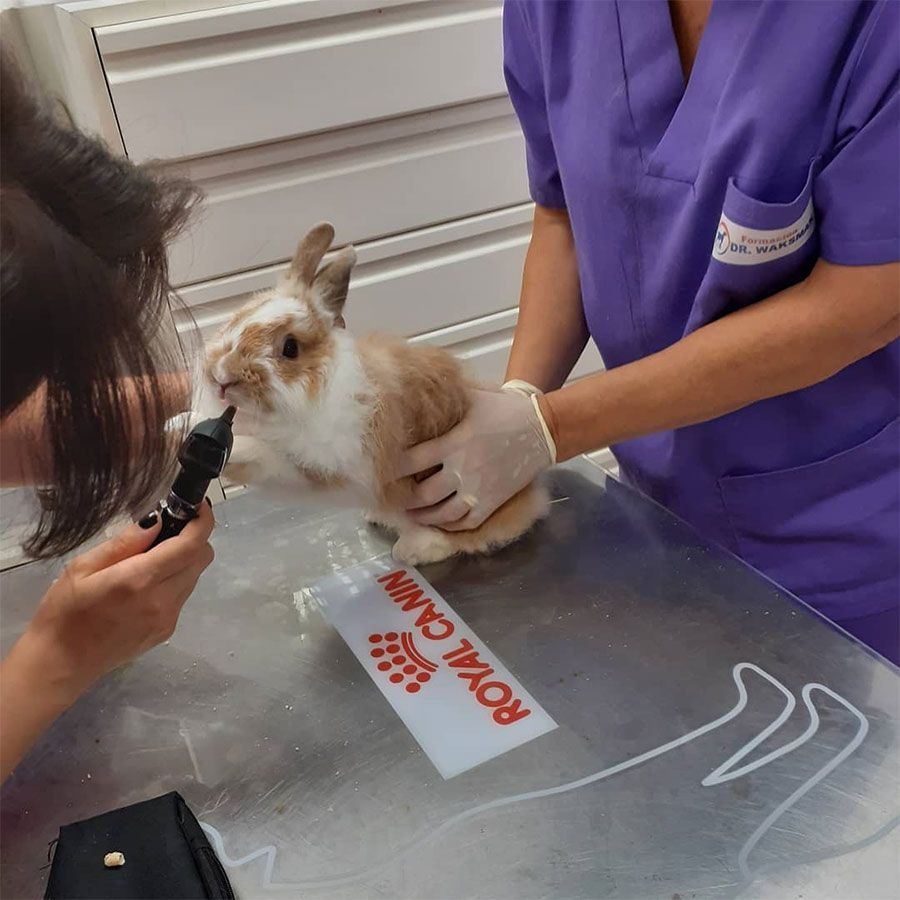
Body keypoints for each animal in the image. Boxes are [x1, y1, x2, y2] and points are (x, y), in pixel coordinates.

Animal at [201, 222, 549, 566]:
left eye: (290, 348)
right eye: (237, 317)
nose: (221, 376)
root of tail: (531, 496)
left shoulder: (326, 467)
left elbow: (265, 457)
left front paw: (234, 446)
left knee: (462, 538)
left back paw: (411, 550)